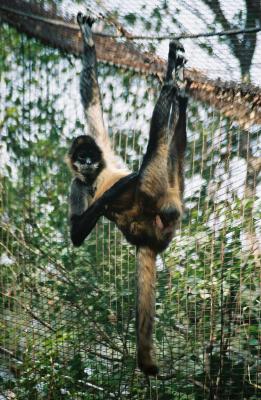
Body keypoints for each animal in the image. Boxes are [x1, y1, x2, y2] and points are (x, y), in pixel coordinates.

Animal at [65, 12, 187, 376]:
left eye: (89, 157)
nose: (87, 163)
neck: (95, 176)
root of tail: (152, 236)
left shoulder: (104, 151)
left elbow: (92, 105)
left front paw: (89, 40)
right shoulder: (78, 183)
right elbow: (76, 233)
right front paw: (115, 190)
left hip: (166, 189)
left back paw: (176, 91)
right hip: (160, 189)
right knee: (159, 148)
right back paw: (172, 88)